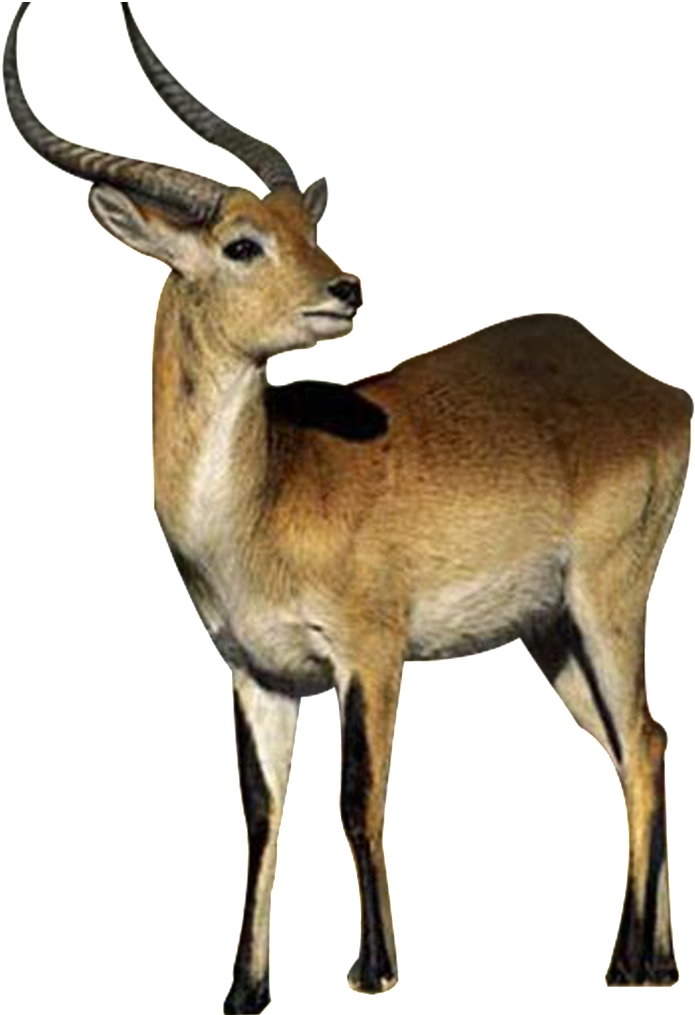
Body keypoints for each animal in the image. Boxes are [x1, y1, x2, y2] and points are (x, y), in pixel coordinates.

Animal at [4, 2, 690, 1007]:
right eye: (242, 242)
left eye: (304, 224)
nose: (346, 287)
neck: (264, 496)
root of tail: (648, 385)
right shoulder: (257, 674)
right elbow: (262, 814)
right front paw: (245, 990)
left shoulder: (371, 651)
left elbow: (356, 797)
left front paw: (373, 969)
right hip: (549, 631)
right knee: (638, 742)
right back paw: (663, 954)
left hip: (607, 599)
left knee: (639, 744)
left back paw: (628, 964)